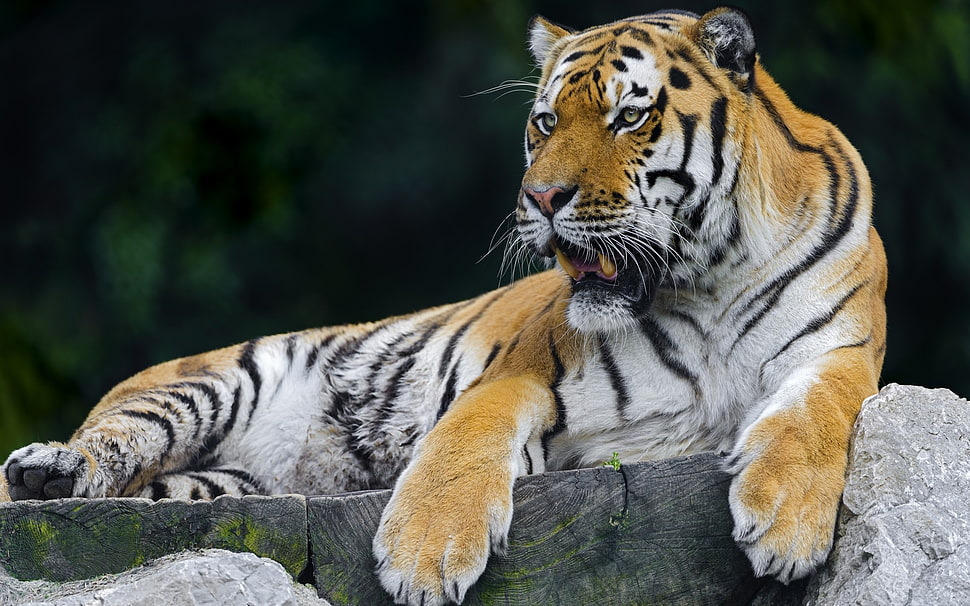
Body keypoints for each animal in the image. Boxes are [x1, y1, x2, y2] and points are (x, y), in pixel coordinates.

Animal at [2, 6, 886, 606]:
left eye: (628, 116)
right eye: (545, 121)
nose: (541, 198)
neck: (707, 280)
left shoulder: (843, 353)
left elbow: (819, 415)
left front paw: (785, 526)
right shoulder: (524, 375)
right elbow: (463, 443)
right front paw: (425, 557)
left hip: (220, 486)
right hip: (209, 382)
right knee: (103, 446)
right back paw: (48, 467)